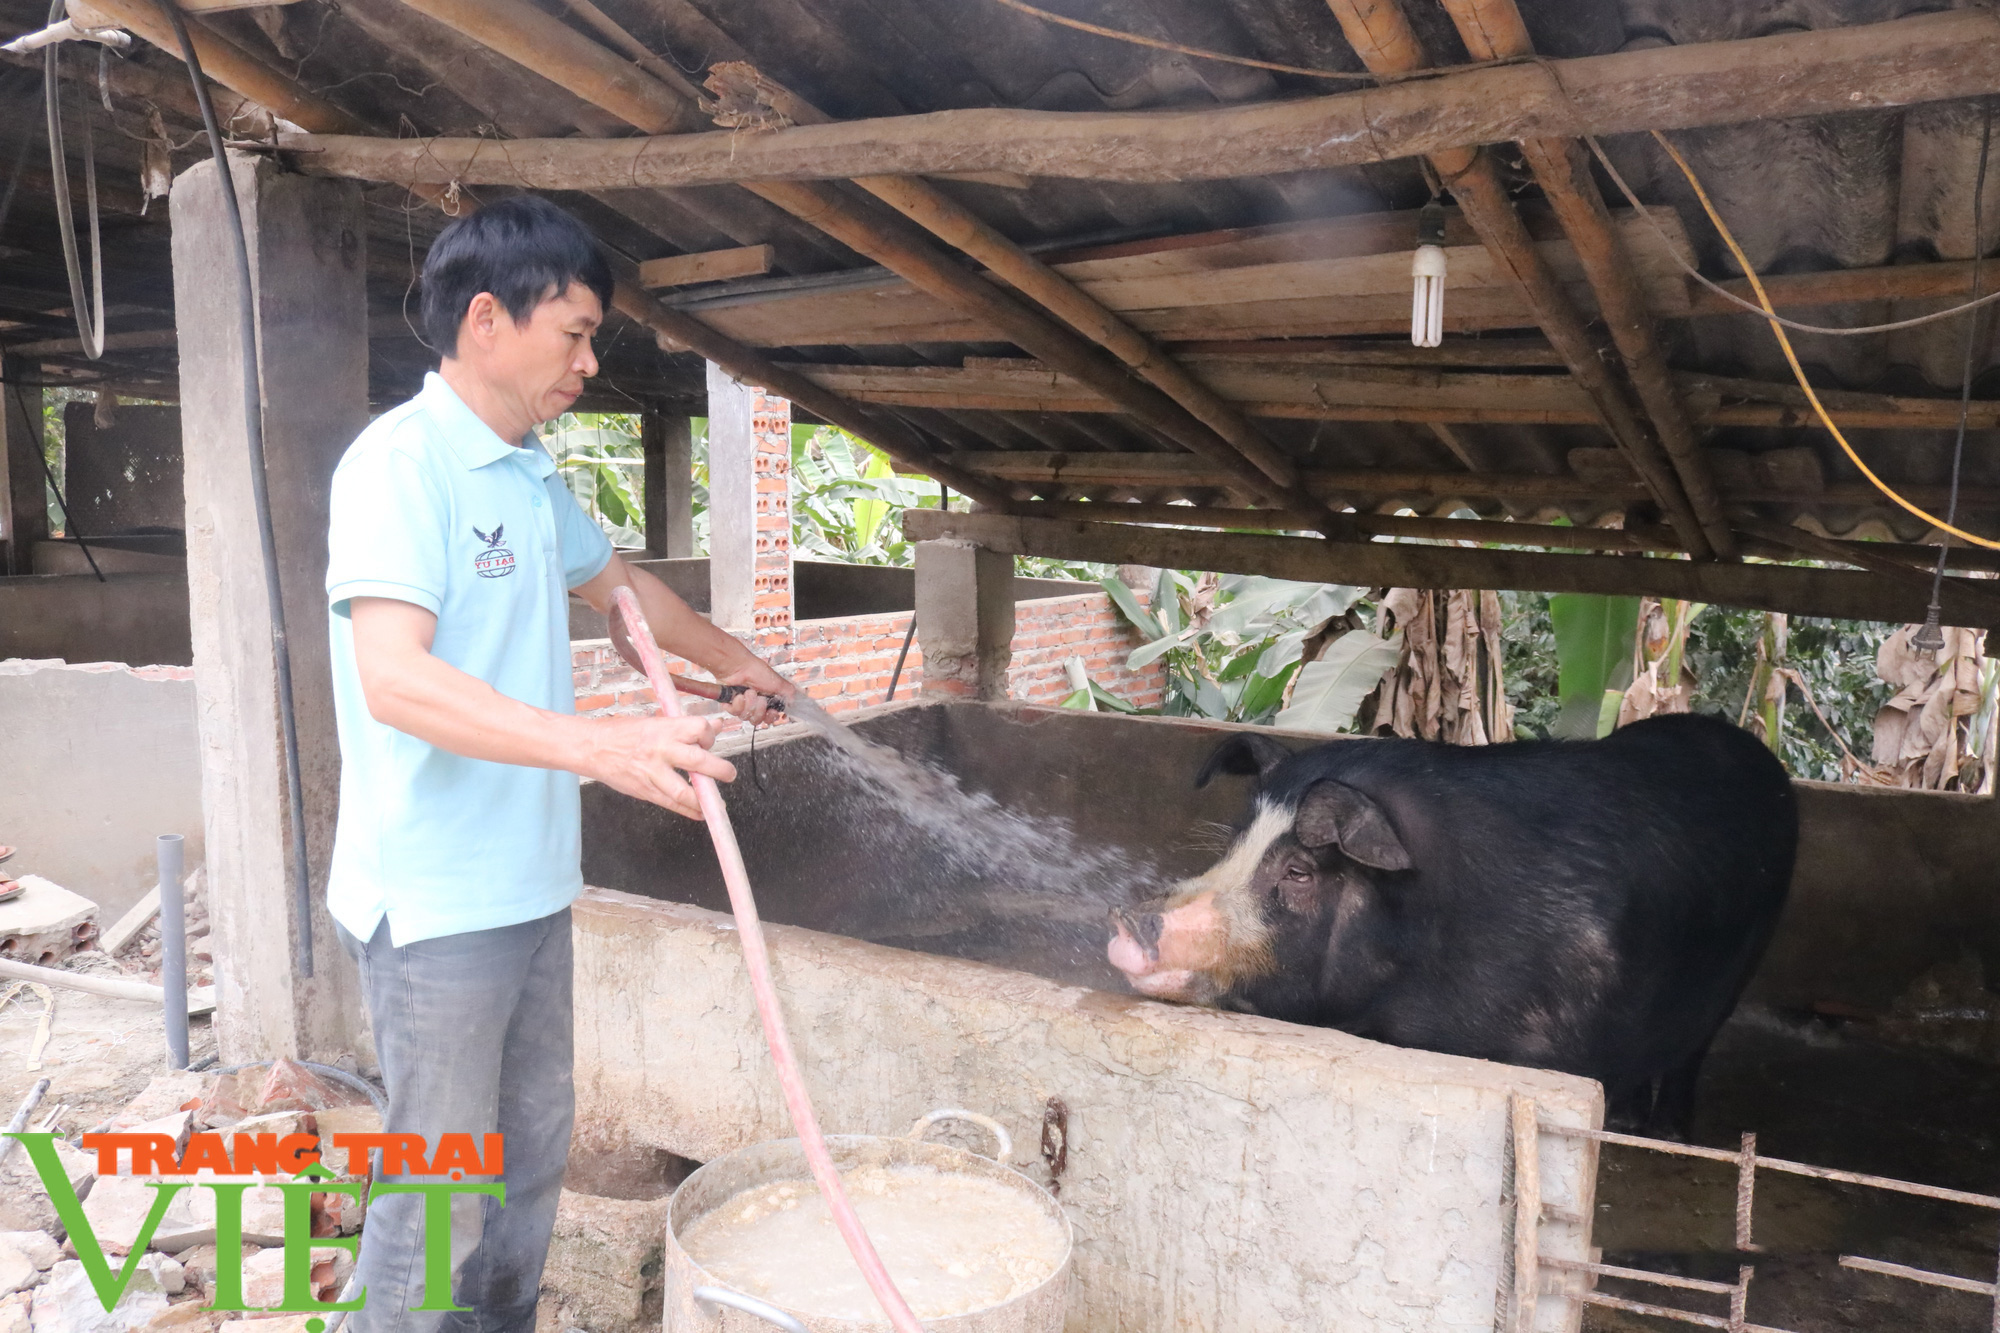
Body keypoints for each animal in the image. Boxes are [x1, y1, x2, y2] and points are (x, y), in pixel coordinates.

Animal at [1112, 712, 1800, 1136]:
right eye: (1235, 844)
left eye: (1300, 871)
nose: (1127, 920)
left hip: (1743, 963)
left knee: (1691, 1050)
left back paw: (1666, 1133)